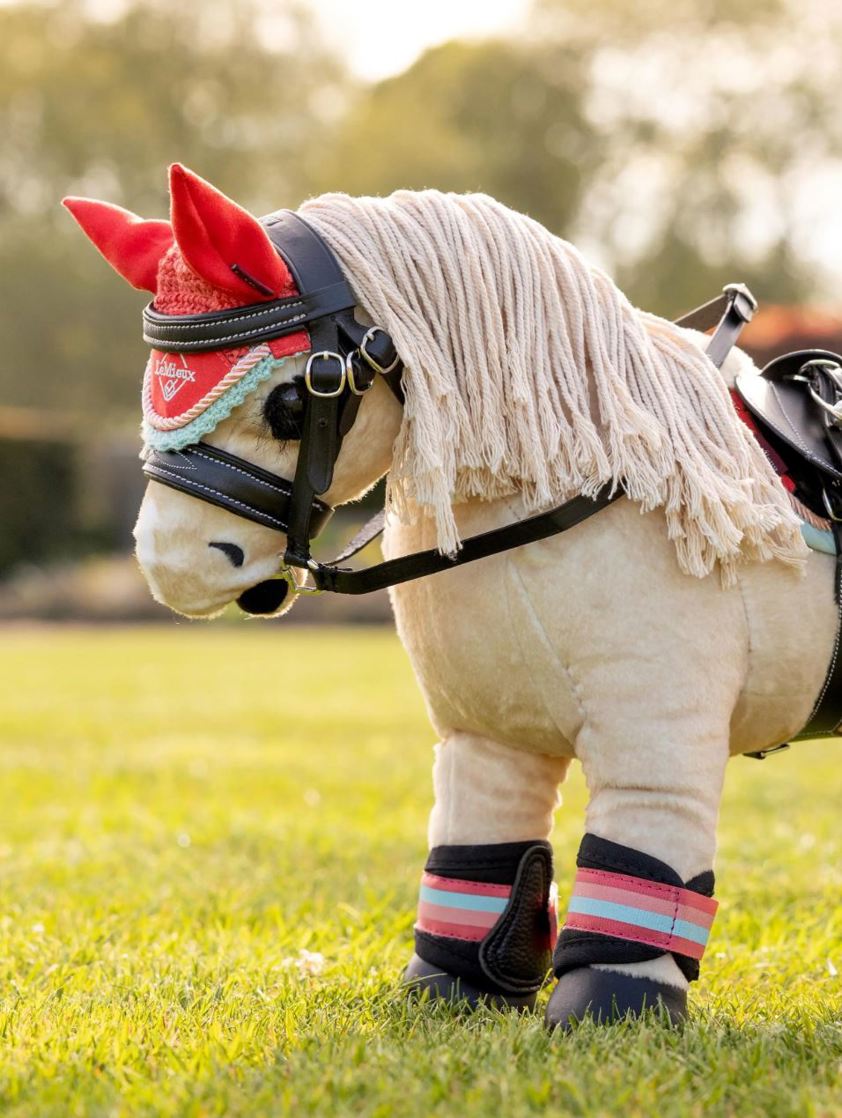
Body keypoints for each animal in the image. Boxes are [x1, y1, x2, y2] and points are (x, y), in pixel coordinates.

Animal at [63, 164, 840, 1030]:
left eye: (291, 400)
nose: (170, 564)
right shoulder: (486, 729)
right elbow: (482, 853)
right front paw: (450, 991)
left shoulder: (659, 733)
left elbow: (641, 857)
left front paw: (608, 1010)